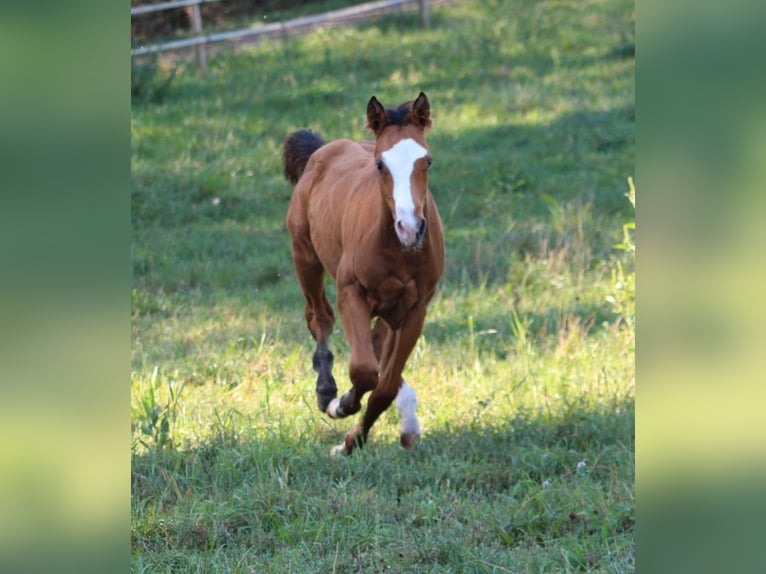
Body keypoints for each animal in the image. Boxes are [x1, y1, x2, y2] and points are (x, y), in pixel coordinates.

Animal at [284, 92, 448, 456]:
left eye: (427, 161)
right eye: (380, 165)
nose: (409, 228)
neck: (399, 251)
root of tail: (324, 149)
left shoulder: (416, 309)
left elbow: (383, 386)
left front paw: (351, 443)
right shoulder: (352, 294)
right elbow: (364, 371)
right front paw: (341, 404)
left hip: (389, 309)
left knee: (376, 345)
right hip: (305, 257)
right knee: (319, 317)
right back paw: (326, 392)